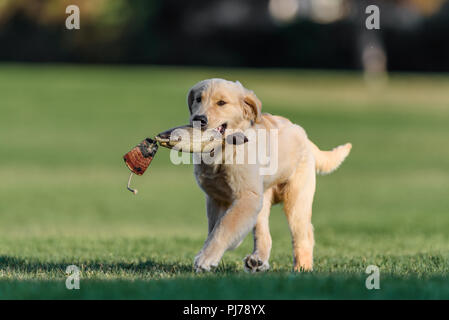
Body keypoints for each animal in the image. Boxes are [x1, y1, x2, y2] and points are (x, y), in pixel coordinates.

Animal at [187, 79, 352, 272]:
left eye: (221, 103)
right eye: (198, 99)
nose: (198, 119)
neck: (223, 152)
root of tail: (305, 138)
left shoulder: (247, 196)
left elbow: (224, 226)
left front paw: (205, 258)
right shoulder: (216, 198)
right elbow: (216, 228)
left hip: (296, 202)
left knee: (304, 236)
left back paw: (301, 268)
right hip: (263, 200)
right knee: (265, 234)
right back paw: (257, 260)